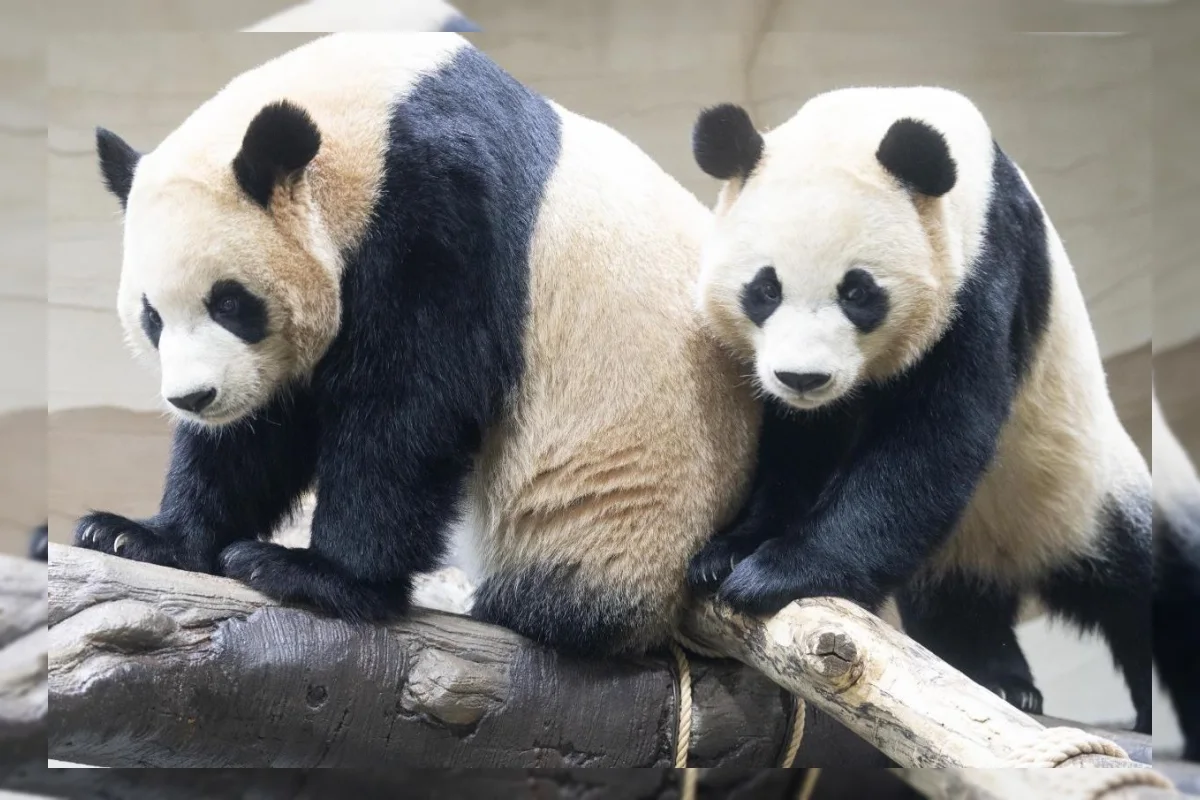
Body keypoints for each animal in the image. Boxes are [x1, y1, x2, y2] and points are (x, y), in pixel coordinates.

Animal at [75, 32, 760, 658]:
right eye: (152, 318)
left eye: (230, 303)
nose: (194, 398)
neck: (376, 112)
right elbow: (260, 432)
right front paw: (138, 535)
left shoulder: (443, 203)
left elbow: (410, 400)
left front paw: (314, 573)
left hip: (627, 501)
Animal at [684, 86, 1153, 732]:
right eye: (765, 289)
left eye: (858, 292)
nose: (804, 378)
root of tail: (1026, 560)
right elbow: (795, 451)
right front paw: (726, 553)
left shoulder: (984, 274)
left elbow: (931, 442)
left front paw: (779, 573)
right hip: (969, 548)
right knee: (959, 606)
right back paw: (1003, 681)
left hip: (1087, 482)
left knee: (1146, 589)